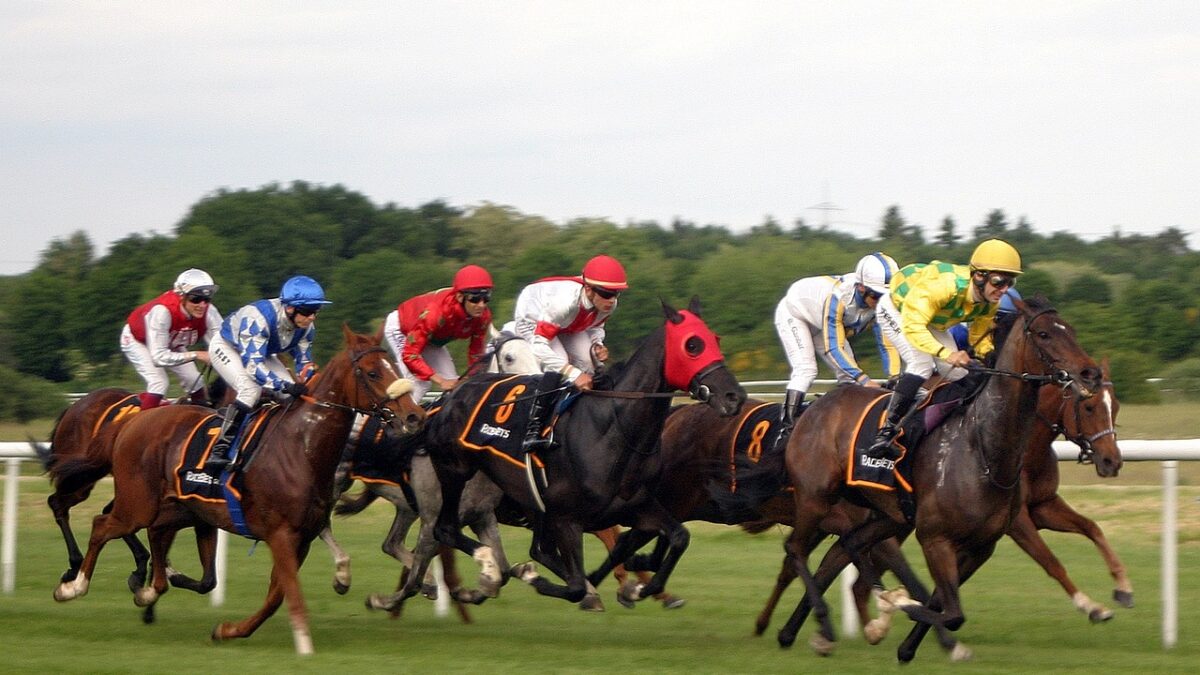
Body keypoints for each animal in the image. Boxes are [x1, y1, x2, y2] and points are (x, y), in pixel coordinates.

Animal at [51, 326, 427, 653]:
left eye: (395, 366)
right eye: (372, 373)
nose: (413, 416)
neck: (301, 446)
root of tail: (132, 421)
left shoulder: (301, 537)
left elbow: (276, 596)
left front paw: (229, 630)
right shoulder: (281, 534)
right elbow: (289, 592)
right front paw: (305, 643)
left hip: (178, 511)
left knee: (155, 542)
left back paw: (147, 590)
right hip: (137, 505)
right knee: (100, 524)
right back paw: (73, 585)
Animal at [422, 296, 739, 600]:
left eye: (715, 339)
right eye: (692, 345)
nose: (734, 396)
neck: (613, 429)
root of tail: (452, 396)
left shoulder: (636, 506)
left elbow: (677, 537)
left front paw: (641, 586)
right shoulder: (566, 518)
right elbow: (575, 585)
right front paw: (537, 578)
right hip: (455, 473)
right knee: (444, 530)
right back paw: (483, 575)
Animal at [777, 296, 1104, 658]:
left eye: (1071, 330)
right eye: (1044, 334)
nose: (1090, 373)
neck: (983, 450)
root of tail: (812, 407)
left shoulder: (981, 546)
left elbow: (945, 607)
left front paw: (909, 643)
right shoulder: (935, 538)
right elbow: (949, 610)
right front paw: (896, 606)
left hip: (886, 515)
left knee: (845, 547)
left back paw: (801, 631)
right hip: (815, 497)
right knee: (795, 548)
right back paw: (824, 620)